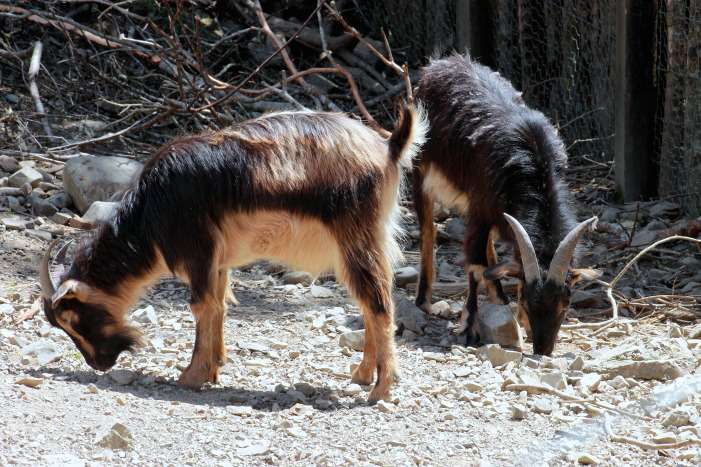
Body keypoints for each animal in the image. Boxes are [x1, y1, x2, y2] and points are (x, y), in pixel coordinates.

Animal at [39, 107, 426, 402]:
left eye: (73, 319)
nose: (99, 364)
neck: (149, 212)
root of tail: (388, 147)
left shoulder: (197, 250)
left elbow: (201, 305)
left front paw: (192, 375)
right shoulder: (218, 261)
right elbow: (219, 305)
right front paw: (214, 366)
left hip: (356, 238)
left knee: (378, 304)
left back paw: (380, 389)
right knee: (369, 301)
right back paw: (362, 374)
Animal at [412, 54, 600, 354]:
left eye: (565, 304)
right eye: (528, 301)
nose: (543, 350)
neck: (532, 165)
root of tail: (442, 63)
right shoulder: (479, 207)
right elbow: (475, 263)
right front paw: (470, 327)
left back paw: (498, 296)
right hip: (421, 167)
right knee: (427, 229)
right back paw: (424, 300)